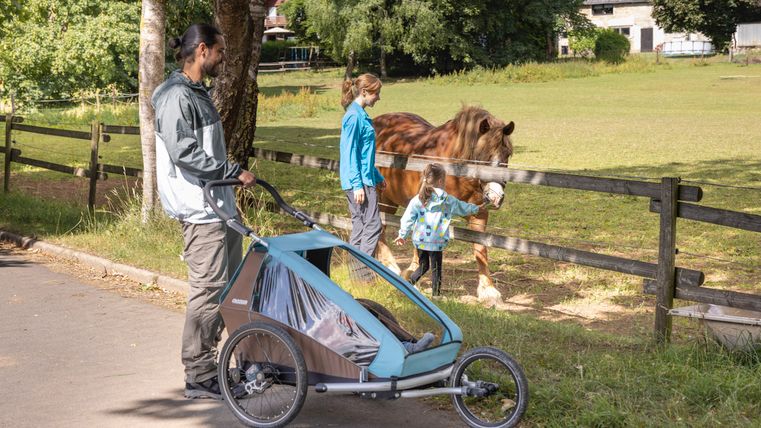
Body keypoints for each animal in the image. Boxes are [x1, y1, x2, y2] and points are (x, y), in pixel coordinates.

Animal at [372, 106, 514, 303]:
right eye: (483, 156)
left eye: (507, 154)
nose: (496, 196)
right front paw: (412, 273)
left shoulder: (478, 214)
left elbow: (480, 249)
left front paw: (489, 291)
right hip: (381, 197)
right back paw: (389, 265)